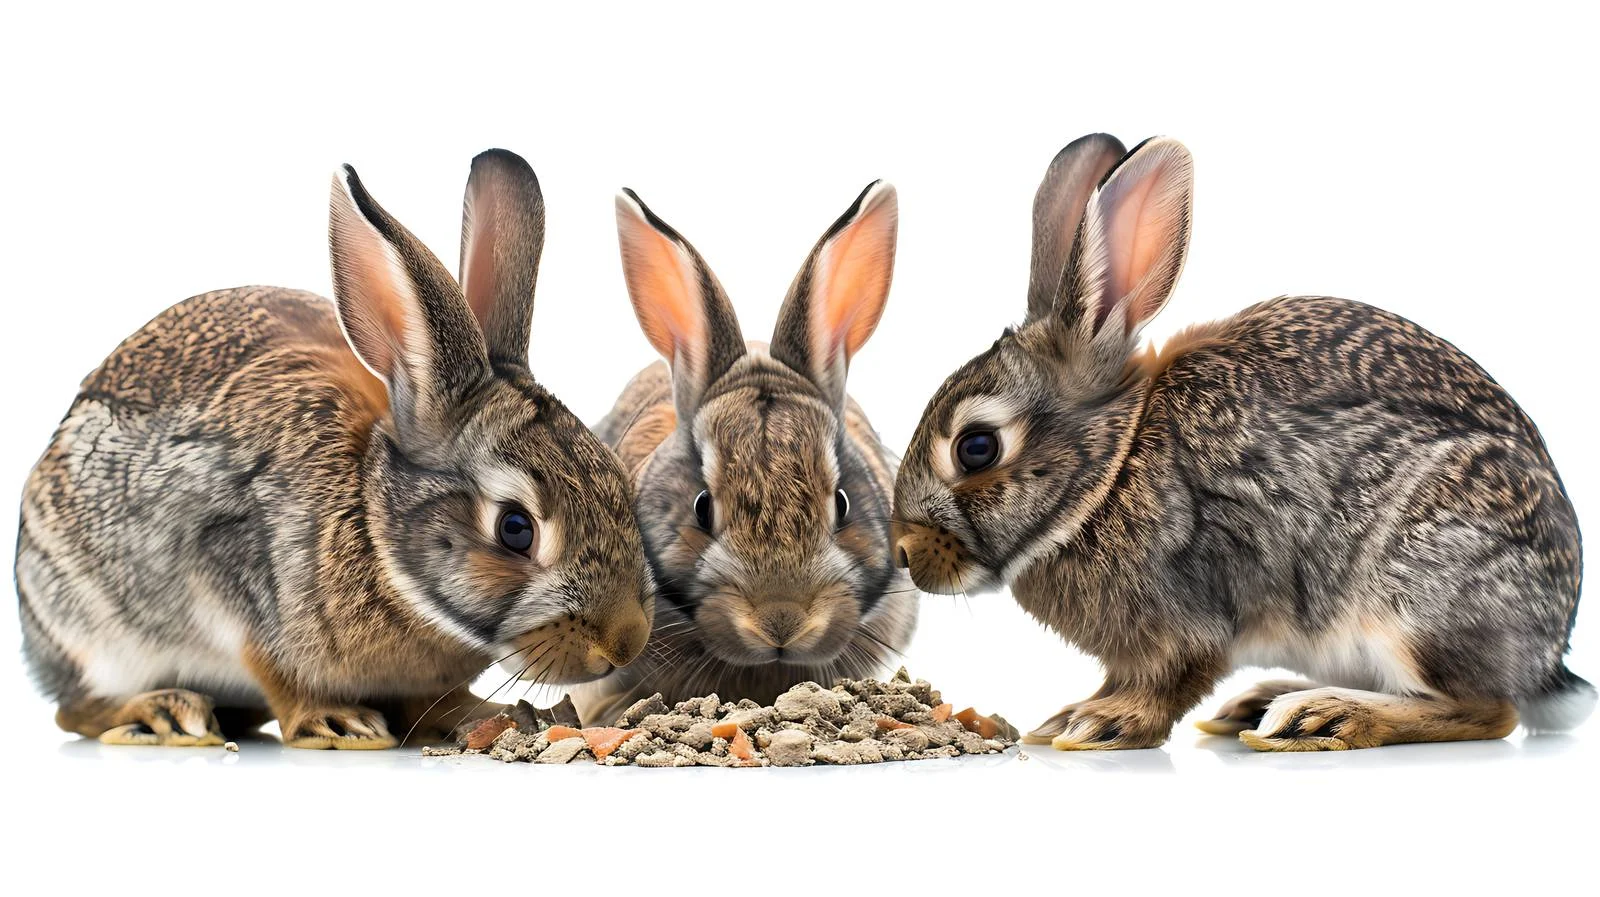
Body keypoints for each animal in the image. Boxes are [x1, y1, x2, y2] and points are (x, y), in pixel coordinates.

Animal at [14, 149, 654, 749]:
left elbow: (435, 700)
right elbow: (276, 669)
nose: (626, 642)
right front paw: (337, 722)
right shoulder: (231, 572)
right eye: (515, 529)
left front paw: (487, 716)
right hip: (87, 629)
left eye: (621, 485)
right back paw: (164, 713)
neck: (374, 526)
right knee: (72, 709)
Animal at [892, 133, 1590, 751]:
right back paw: (1260, 704)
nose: (903, 552)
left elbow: (1171, 677)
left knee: (1487, 710)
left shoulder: (1188, 616)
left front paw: (1097, 724)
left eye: (976, 448)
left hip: (1416, 597)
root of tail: (1547, 656)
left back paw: (1321, 718)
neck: (1111, 471)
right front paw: (1071, 715)